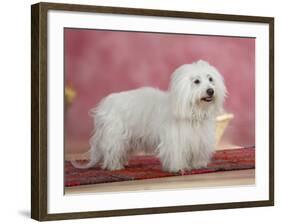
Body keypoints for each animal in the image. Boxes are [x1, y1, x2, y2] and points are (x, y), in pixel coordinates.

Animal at [71, 60, 225, 172]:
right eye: (196, 81)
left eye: (210, 79)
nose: (210, 91)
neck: (193, 111)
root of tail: (107, 102)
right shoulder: (175, 141)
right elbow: (176, 154)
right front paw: (178, 168)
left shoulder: (199, 140)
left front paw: (197, 165)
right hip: (115, 136)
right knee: (112, 151)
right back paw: (115, 167)